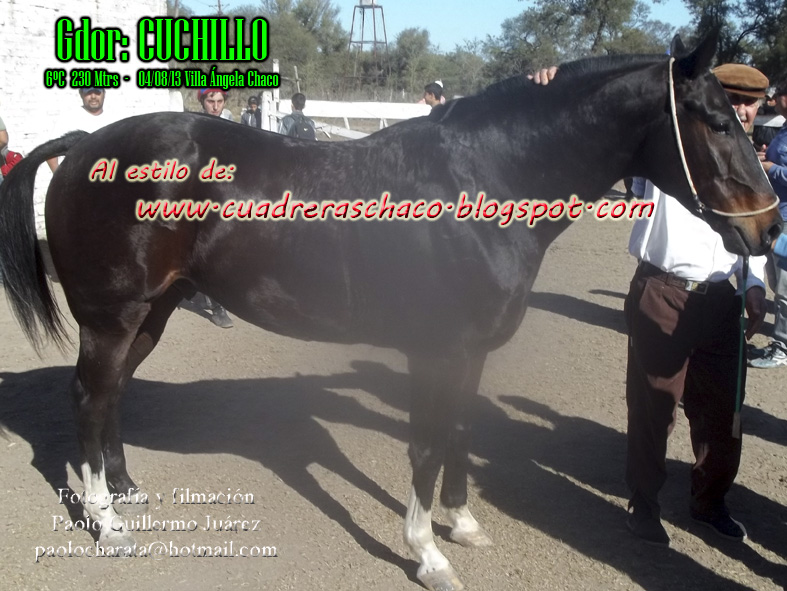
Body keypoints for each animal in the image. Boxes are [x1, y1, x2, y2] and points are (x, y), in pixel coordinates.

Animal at [0, 33, 781, 591]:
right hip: (114, 317)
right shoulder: (437, 351)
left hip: (152, 312)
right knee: (90, 396)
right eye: (717, 121)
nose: (766, 227)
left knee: (113, 395)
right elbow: (426, 445)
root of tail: (85, 146)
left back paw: (125, 490)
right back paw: (106, 523)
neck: (484, 182)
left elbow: (459, 430)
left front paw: (460, 523)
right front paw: (427, 554)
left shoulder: (468, 352)